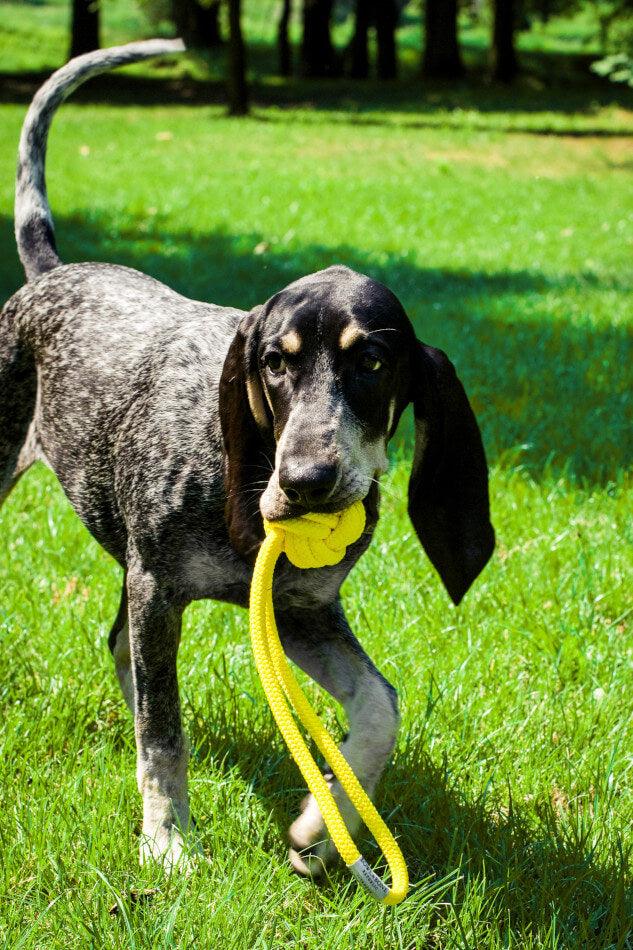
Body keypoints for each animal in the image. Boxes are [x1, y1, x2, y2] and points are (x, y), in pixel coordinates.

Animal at [0, 42, 494, 876]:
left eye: (372, 364)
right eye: (273, 363)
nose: (306, 482)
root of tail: (51, 273)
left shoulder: (301, 611)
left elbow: (379, 707)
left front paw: (322, 829)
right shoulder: (158, 590)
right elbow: (163, 736)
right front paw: (167, 840)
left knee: (126, 657)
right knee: (146, 686)